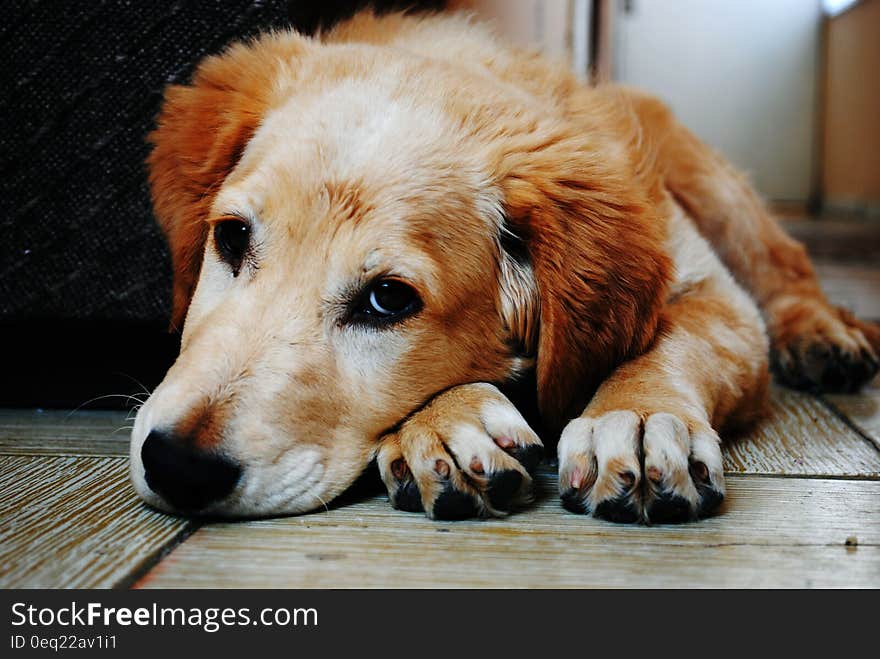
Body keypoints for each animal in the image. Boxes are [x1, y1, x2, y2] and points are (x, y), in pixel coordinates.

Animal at [129, 9, 880, 524]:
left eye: (388, 300)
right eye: (231, 238)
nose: (177, 465)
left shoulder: (715, 295)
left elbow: (675, 342)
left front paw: (637, 416)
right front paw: (448, 423)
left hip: (715, 189)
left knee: (787, 267)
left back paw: (823, 335)